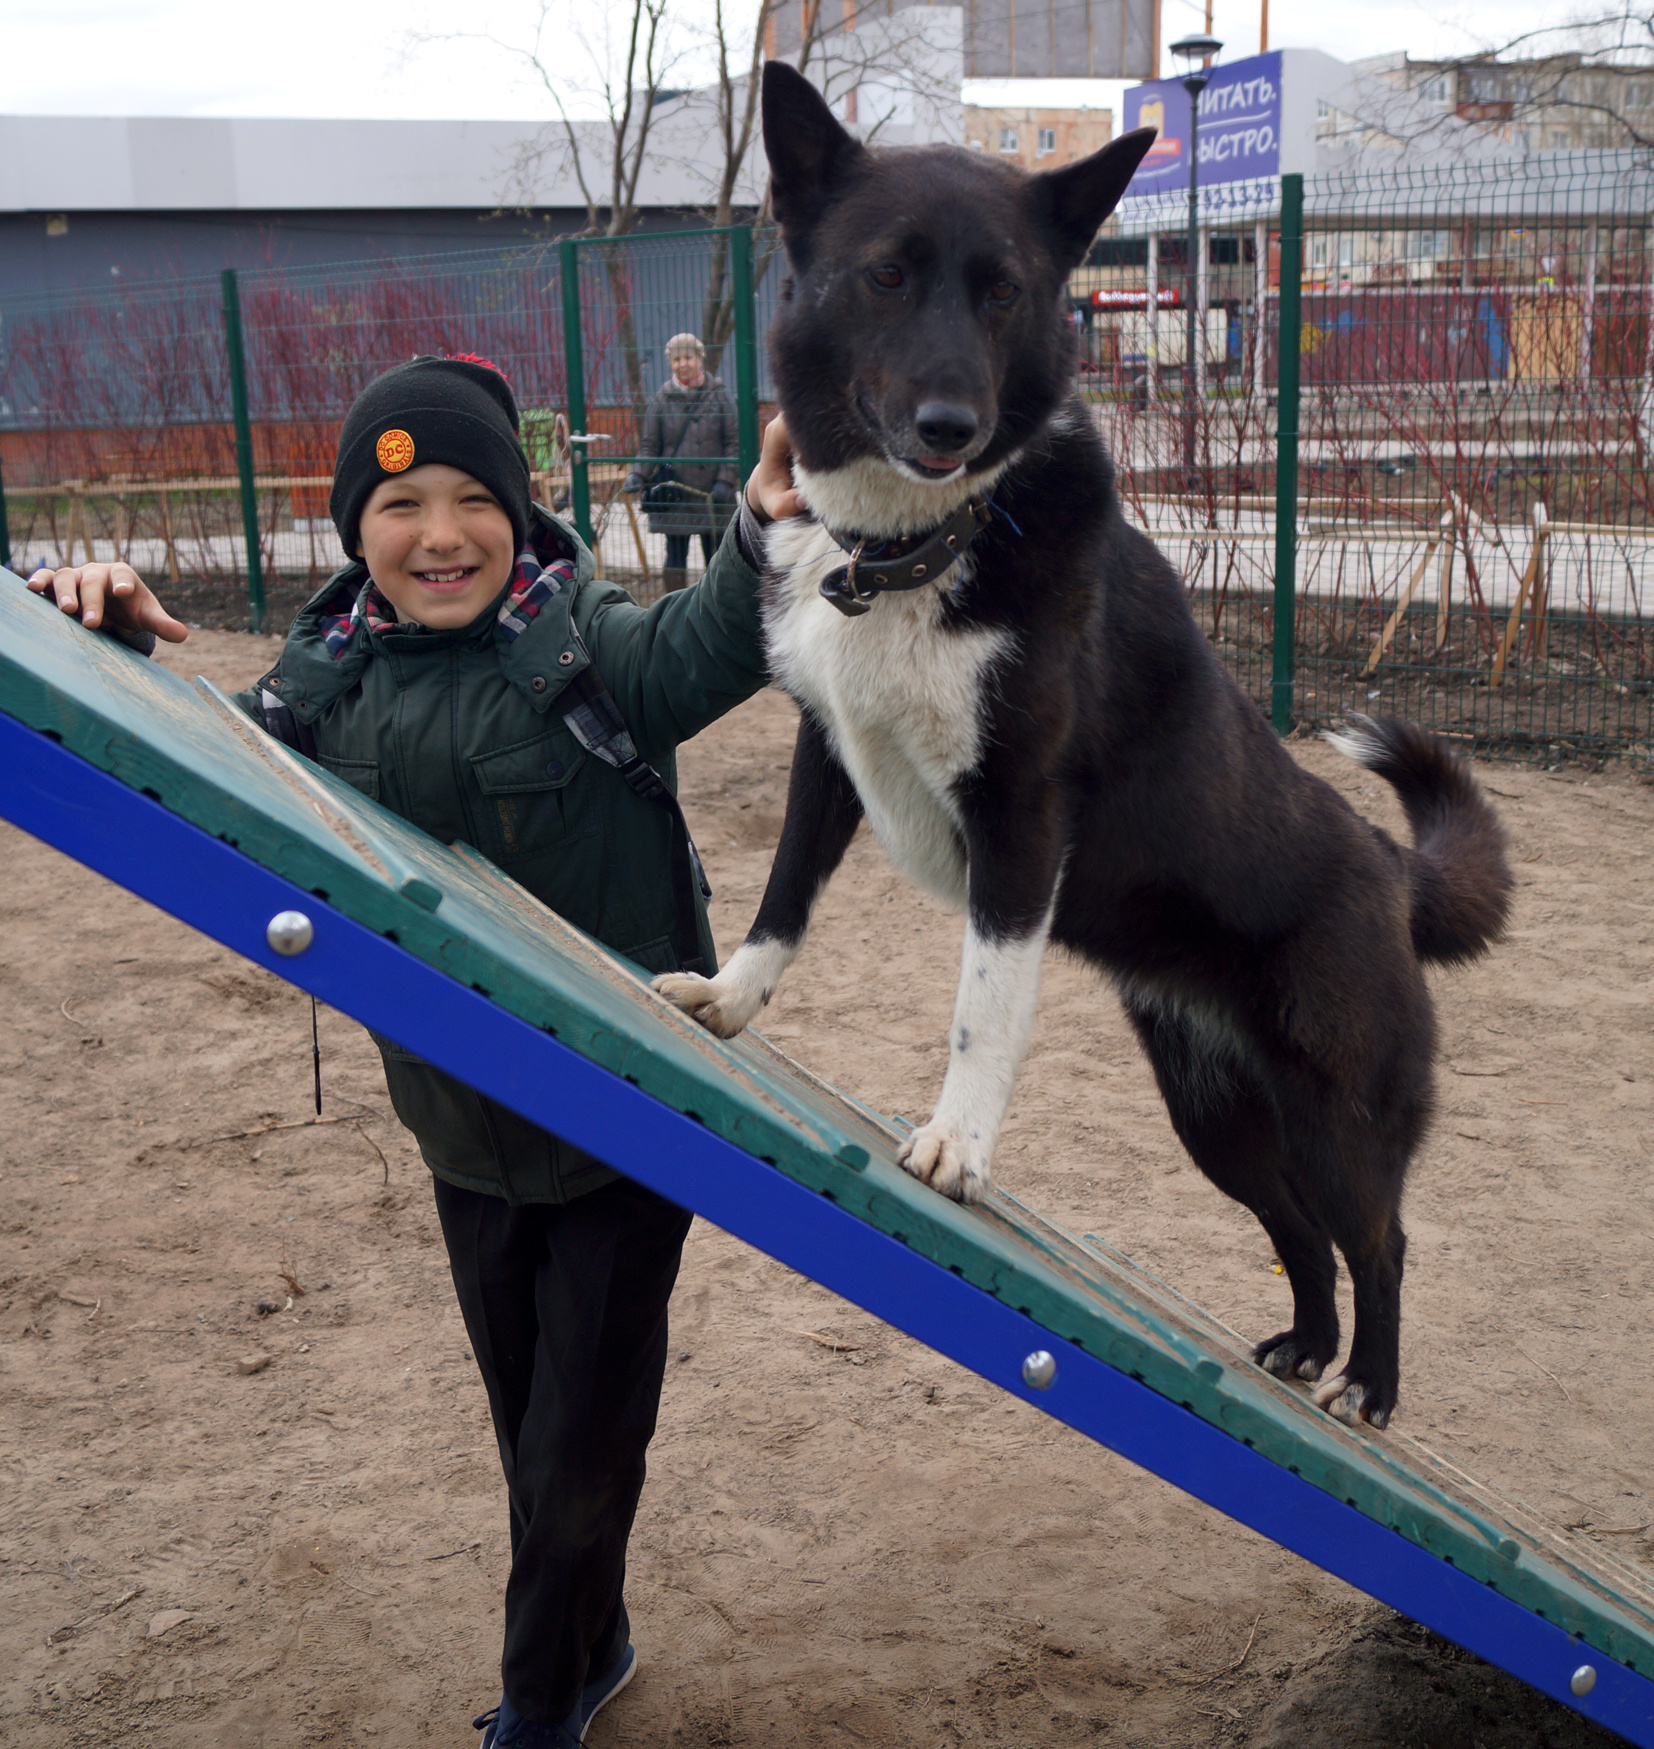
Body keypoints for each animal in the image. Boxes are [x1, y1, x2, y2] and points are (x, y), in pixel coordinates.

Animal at [656, 61, 1512, 1430]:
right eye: (884, 274)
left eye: (1003, 288)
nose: (950, 425)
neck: (920, 545)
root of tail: (1390, 866)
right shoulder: (826, 758)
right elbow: (781, 902)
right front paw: (728, 1002)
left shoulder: (1019, 822)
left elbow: (982, 1008)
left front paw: (956, 1146)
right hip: (1216, 1117)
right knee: (1302, 1234)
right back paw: (1301, 1349)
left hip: (1337, 1112)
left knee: (1378, 1239)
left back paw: (1368, 1388)